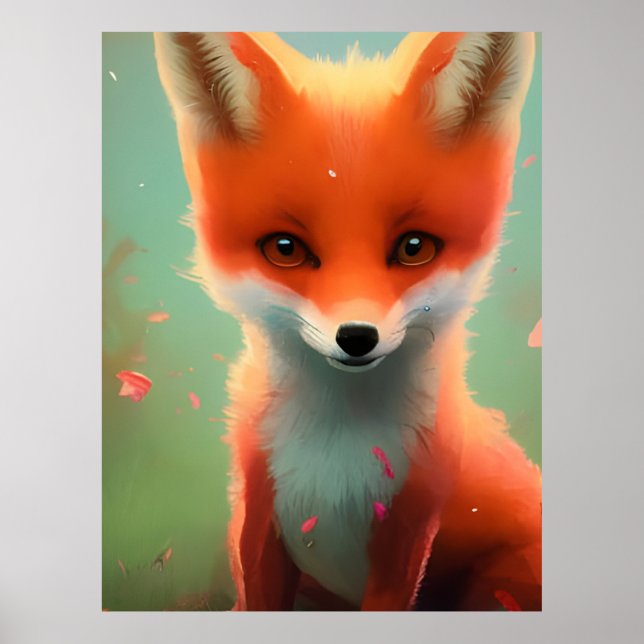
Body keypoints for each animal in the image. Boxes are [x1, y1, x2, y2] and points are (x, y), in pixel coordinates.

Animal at [154, 31, 541, 611]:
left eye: (414, 247)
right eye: (286, 249)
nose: (357, 337)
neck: (335, 454)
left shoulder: (406, 535)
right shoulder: (259, 520)